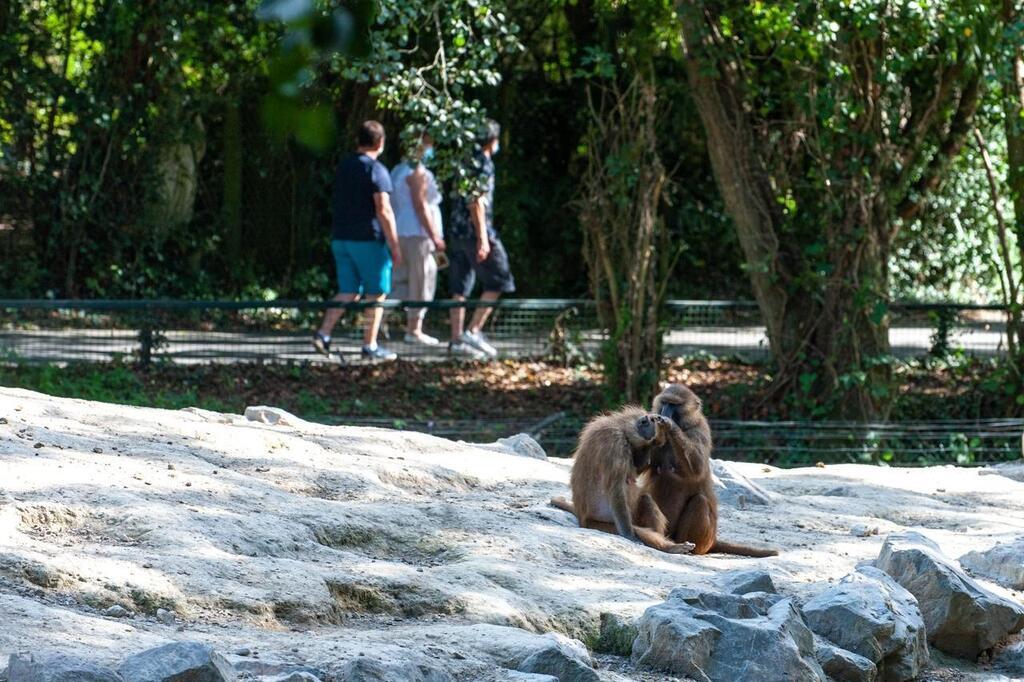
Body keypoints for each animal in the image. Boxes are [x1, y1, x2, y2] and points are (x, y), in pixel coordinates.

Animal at [552, 405, 696, 557]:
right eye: (649, 443)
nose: (647, 458)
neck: (621, 425)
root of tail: (582, 518)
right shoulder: (614, 442)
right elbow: (616, 488)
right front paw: (629, 535)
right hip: (600, 524)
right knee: (638, 527)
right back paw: (672, 547)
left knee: (645, 499)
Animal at [643, 385, 778, 557]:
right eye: (665, 402)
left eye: (675, 405)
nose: (664, 413)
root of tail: (713, 540)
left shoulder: (701, 431)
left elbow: (697, 469)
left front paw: (669, 424)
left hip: (703, 539)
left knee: (700, 501)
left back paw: (685, 548)